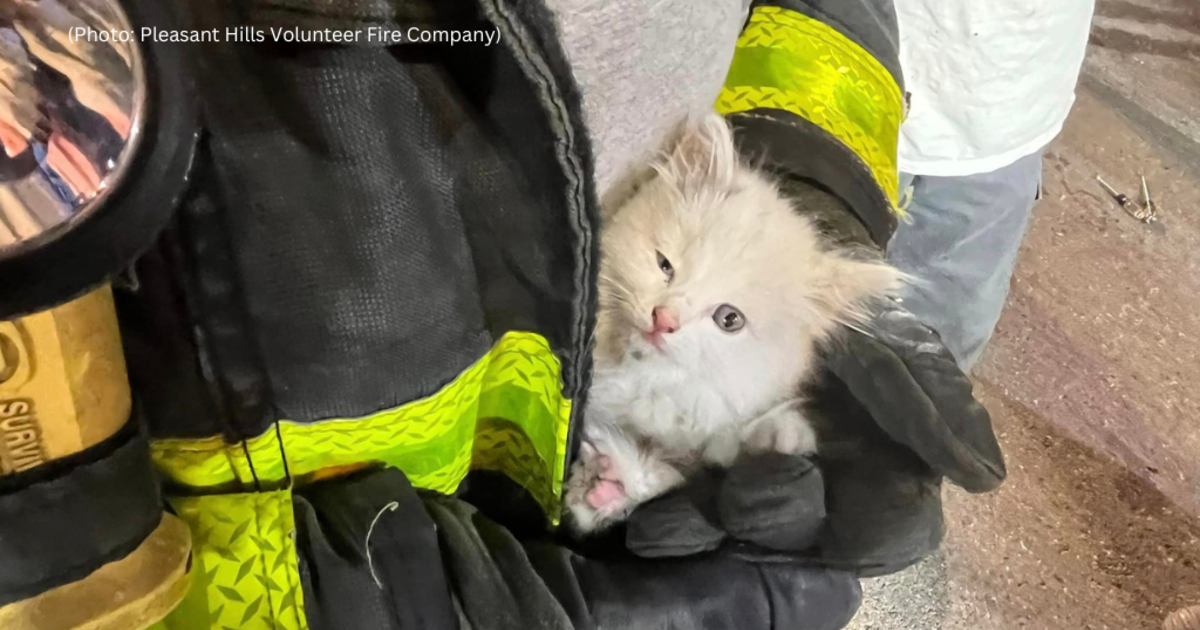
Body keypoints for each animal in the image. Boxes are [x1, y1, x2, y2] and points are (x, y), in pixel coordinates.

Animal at [566, 112, 902, 530]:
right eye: (664, 265)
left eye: (729, 319)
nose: (664, 319)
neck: (644, 379)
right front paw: (602, 482)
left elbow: (709, 457)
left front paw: (778, 438)